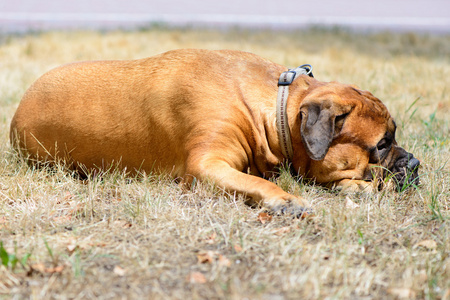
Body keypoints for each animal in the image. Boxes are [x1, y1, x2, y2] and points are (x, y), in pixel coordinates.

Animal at [8, 49, 420, 218]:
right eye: (382, 144)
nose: (414, 163)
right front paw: (285, 199)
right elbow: (259, 183)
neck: (274, 108)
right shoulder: (207, 164)